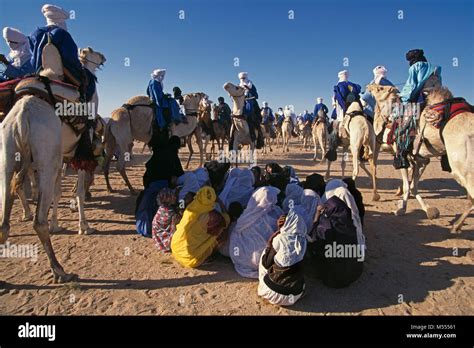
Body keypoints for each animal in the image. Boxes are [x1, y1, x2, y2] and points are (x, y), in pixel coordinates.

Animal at [394, 86, 472, 231]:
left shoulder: (402, 154)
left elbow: (408, 185)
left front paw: (401, 209)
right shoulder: (421, 159)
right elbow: (413, 185)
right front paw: (429, 211)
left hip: (462, 167)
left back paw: (456, 226)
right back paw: (456, 226)